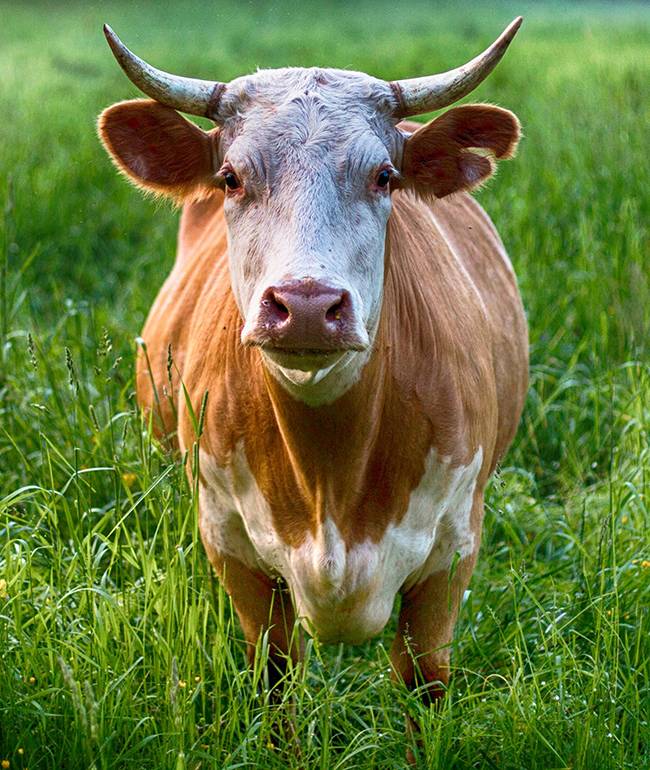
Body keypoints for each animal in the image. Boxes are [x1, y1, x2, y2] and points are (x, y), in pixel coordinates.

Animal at [98, 17, 528, 717]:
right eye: (230, 177)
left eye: (384, 176)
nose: (304, 306)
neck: (331, 473)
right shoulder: (232, 548)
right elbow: (275, 681)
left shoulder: (452, 553)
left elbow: (425, 685)